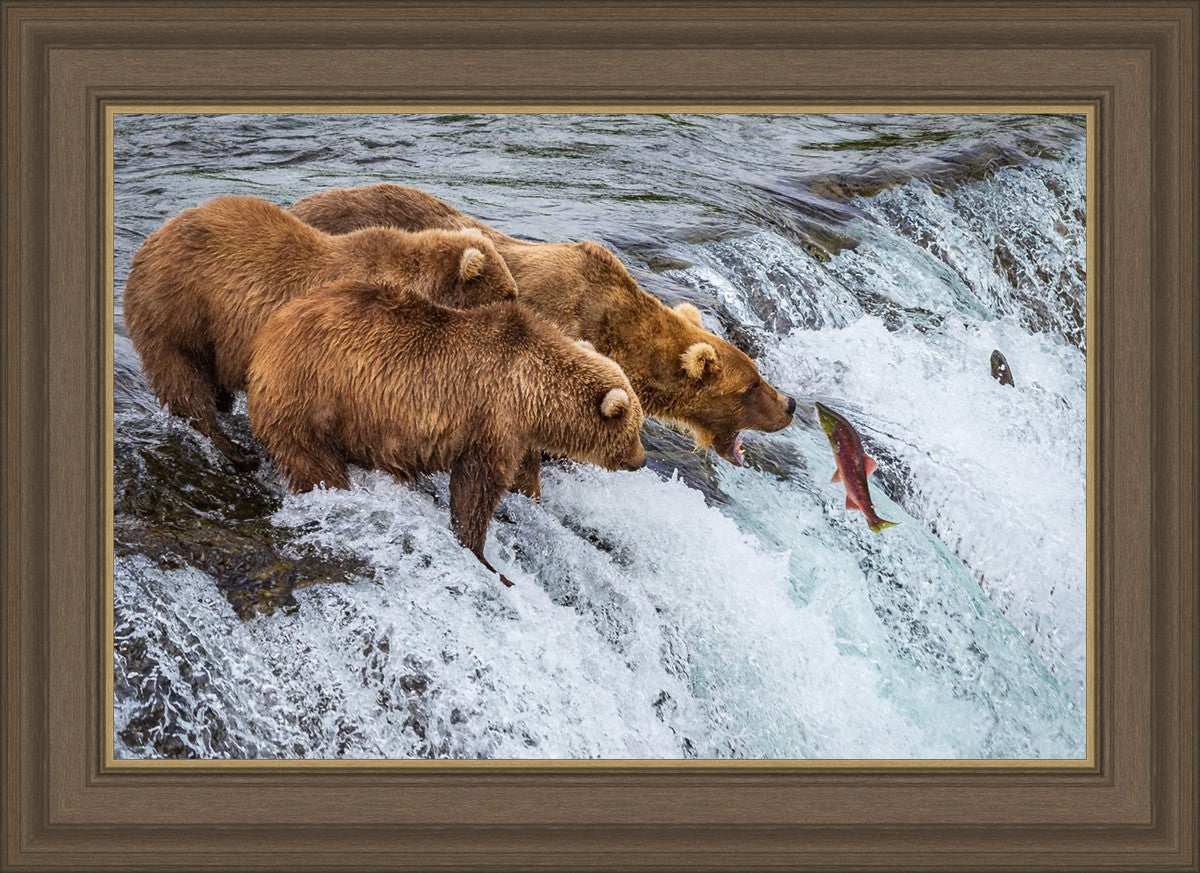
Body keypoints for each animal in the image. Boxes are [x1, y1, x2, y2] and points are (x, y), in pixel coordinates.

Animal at [123, 195, 520, 470]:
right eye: (508, 294)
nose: (520, 309)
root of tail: (149, 242)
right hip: (178, 310)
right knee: (183, 381)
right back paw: (234, 450)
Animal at [245, 279, 646, 587]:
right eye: (635, 429)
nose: (641, 460)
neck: (533, 392)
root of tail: (267, 336)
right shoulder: (492, 417)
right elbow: (477, 487)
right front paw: (485, 558)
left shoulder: (517, 433)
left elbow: (521, 476)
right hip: (312, 397)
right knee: (314, 462)